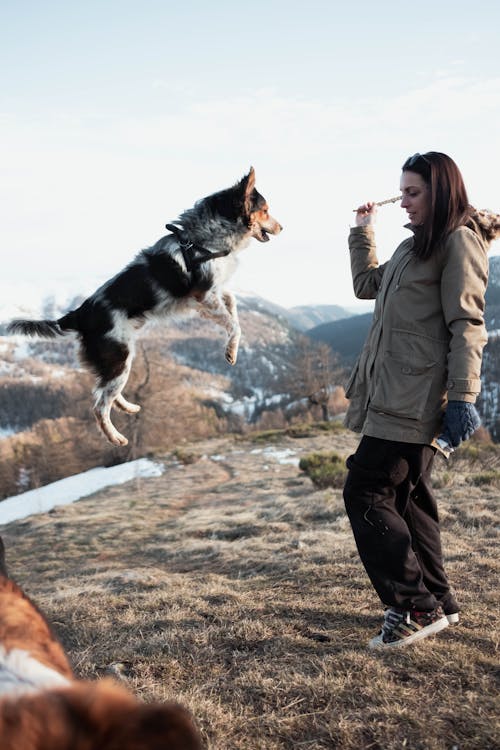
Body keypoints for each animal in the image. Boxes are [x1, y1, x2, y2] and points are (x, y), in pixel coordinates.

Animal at [8, 169, 282, 446]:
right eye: (266, 210)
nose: (283, 227)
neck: (205, 237)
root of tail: (79, 314)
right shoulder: (204, 295)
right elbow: (235, 325)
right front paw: (231, 352)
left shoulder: (214, 291)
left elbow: (233, 306)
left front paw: (232, 344)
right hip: (119, 356)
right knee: (100, 404)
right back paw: (116, 437)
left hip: (120, 358)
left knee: (105, 389)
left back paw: (128, 407)